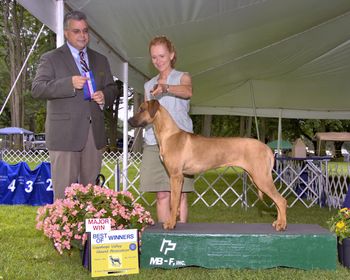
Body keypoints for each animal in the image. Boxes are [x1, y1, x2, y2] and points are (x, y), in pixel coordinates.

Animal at [129, 99, 288, 231]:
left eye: (142, 109)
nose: (129, 121)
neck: (169, 135)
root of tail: (267, 148)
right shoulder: (178, 177)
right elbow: (176, 201)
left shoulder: (175, 176)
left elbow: (173, 203)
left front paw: (170, 223)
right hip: (258, 178)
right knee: (277, 201)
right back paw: (278, 222)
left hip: (261, 178)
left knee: (281, 200)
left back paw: (282, 225)